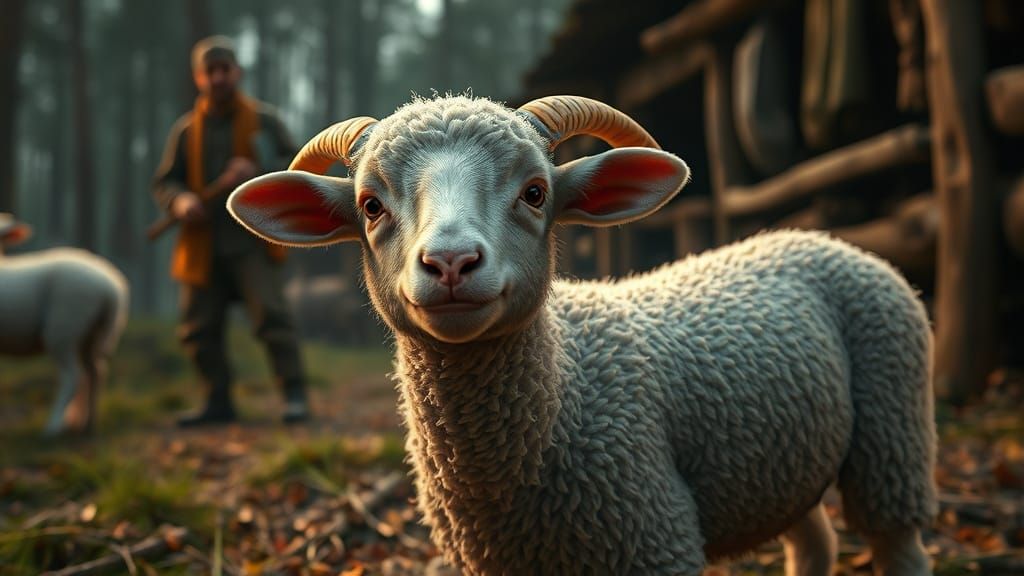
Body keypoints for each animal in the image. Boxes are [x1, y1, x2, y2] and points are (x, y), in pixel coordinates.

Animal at [0, 214, 129, 435]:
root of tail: (111, 289)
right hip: (91, 334)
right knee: (95, 372)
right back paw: (88, 423)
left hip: (64, 327)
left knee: (73, 376)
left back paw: (53, 426)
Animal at [226, 95, 937, 576]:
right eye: (370, 205)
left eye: (536, 193)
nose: (451, 263)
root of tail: (817, 237)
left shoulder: (653, 535)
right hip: (786, 467)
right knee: (813, 542)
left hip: (894, 436)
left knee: (895, 540)